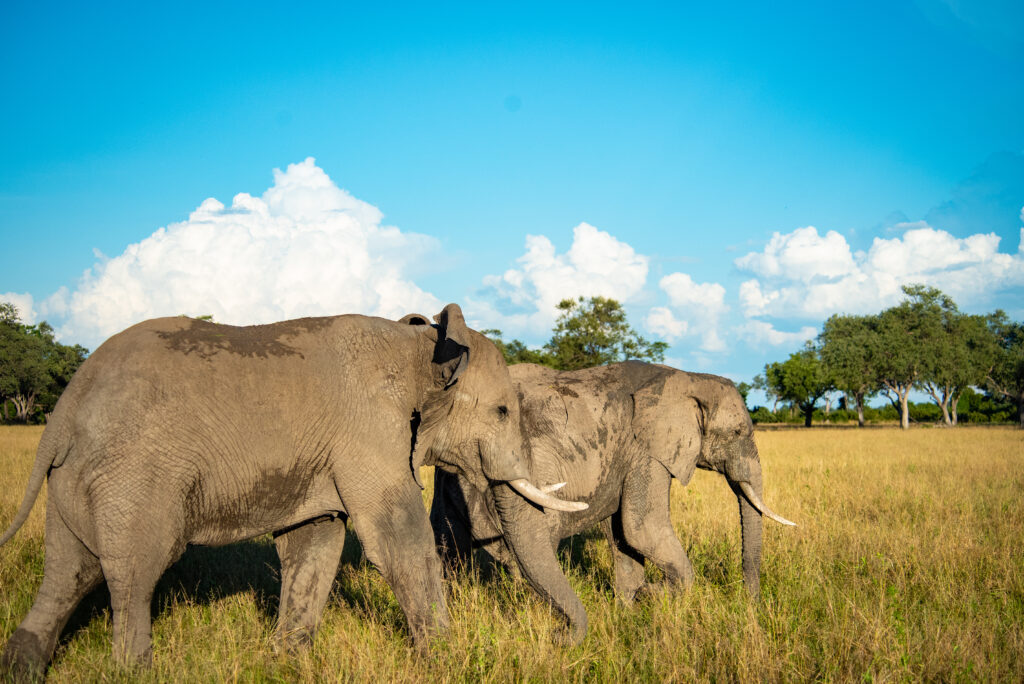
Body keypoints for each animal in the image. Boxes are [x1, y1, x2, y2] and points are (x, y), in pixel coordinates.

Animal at [0, 305, 585, 679]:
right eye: (503, 411)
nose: (561, 639)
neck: (420, 346)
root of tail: (64, 410)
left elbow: (315, 543)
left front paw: (286, 664)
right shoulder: (367, 429)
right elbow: (398, 540)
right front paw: (445, 663)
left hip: (79, 477)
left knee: (69, 571)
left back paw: (21, 668)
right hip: (135, 476)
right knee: (135, 574)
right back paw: (134, 673)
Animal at [428, 362, 794, 643]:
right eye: (738, 433)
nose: (749, 603)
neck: (688, 378)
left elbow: (623, 534)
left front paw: (630, 609)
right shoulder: (647, 451)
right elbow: (641, 528)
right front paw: (648, 595)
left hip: (451, 480)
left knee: (449, 548)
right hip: (533, 469)